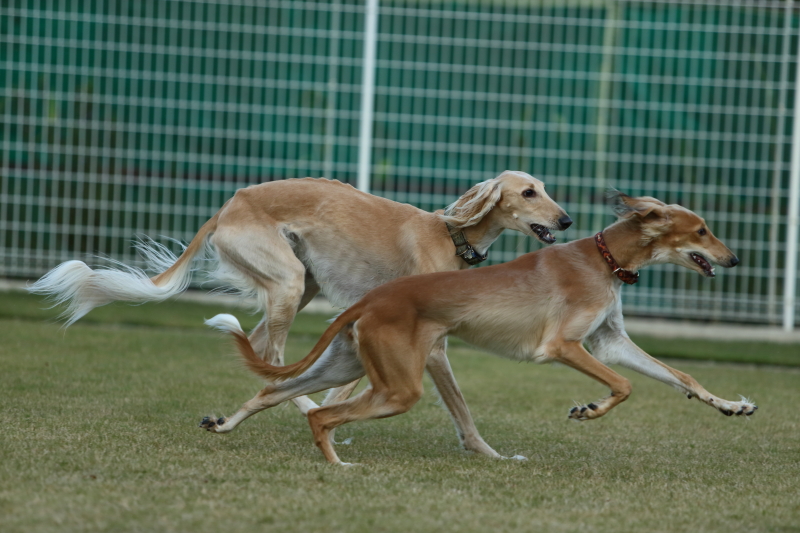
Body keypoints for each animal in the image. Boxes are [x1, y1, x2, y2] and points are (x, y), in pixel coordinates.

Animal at [31, 170, 568, 458]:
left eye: (543, 187)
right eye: (527, 192)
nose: (566, 220)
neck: (450, 235)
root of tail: (233, 201)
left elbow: (344, 385)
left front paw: (335, 426)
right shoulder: (429, 344)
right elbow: (459, 406)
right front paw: (491, 453)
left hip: (301, 283)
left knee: (263, 352)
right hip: (288, 281)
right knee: (273, 357)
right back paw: (297, 406)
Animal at [205, 192, 756, 466]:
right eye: (702, 229)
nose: (734, 260)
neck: (603, 260)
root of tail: (371, 299)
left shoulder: (610, 342)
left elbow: (681, 377)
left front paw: (731, 405)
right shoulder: (561, 345)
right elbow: (622, 385)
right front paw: (589, 409)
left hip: (347, 364)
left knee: (273, 392)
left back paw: (224, 424)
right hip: (397, 386)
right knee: (320, 414)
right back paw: (338, 464)